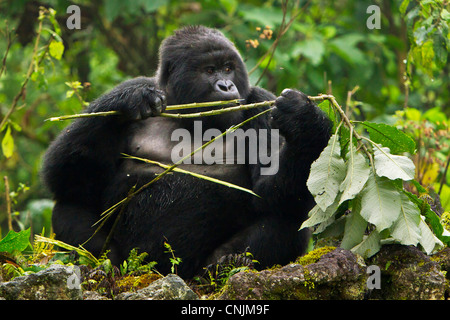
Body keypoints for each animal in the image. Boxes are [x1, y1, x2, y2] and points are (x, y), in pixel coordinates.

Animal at [41, 26, 330, 278]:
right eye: (210, 70)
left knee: (290, 215)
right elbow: (69, 179)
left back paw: (226, 262)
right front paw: (130, 99)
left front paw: (306, 121)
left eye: (228, 68)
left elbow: (271, 192)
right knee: (69, 204)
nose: (227, 86)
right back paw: (104, 262)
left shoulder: (260, 104)